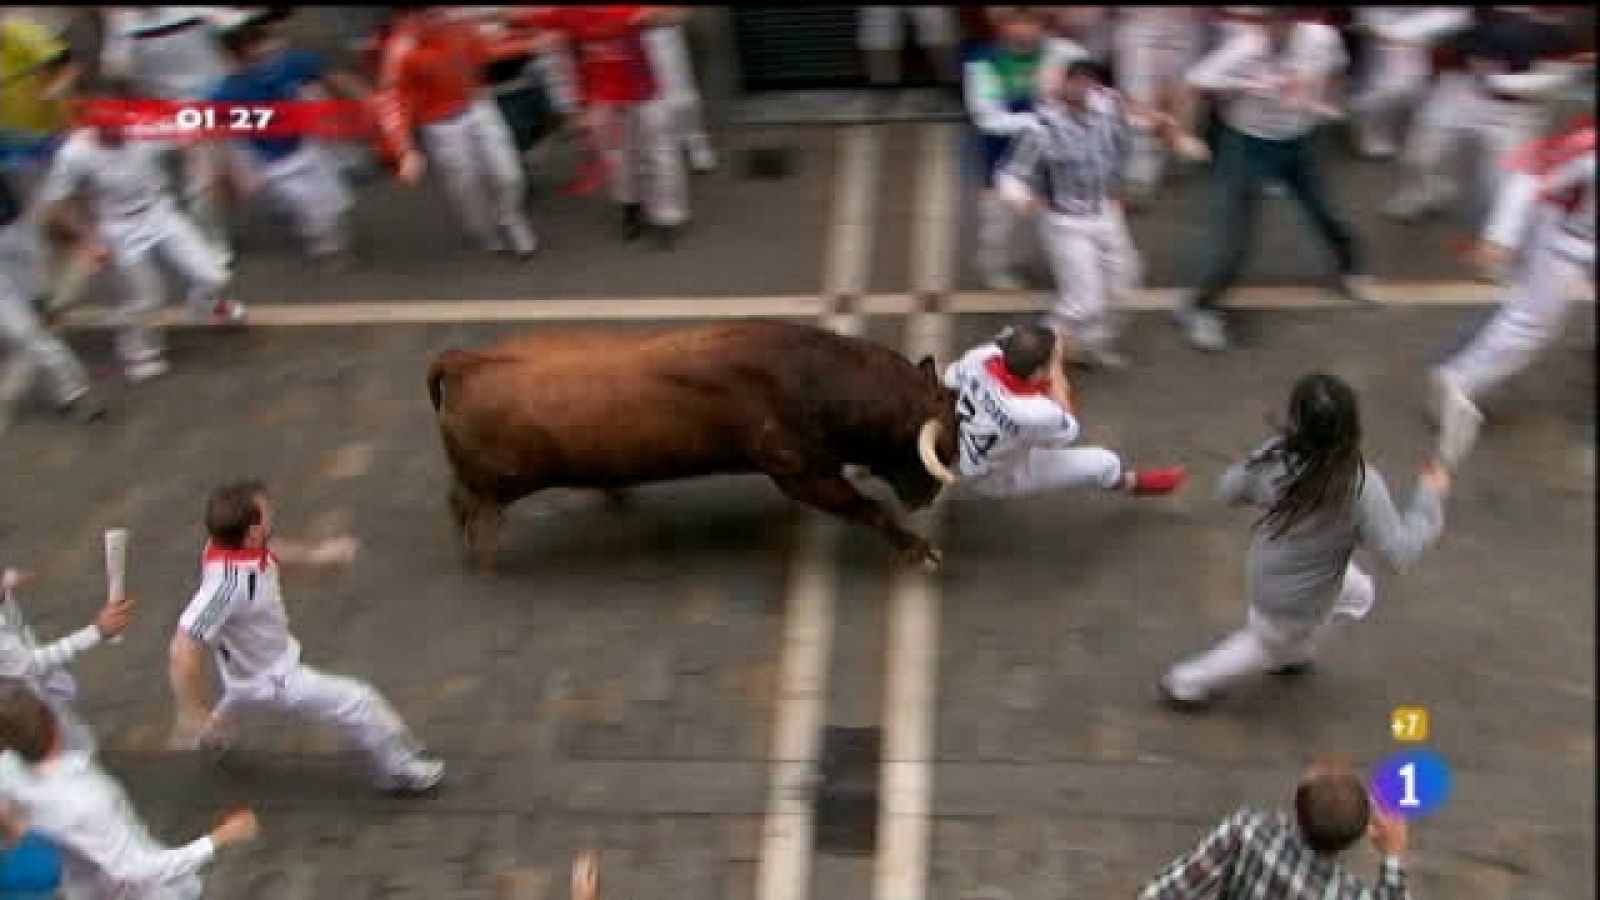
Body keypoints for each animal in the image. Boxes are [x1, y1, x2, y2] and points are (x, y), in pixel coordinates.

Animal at [425, 315, 960, 566]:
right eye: (938, 449)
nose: (930, 496)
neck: (808, 375)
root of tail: (462, 360)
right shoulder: (800, 474)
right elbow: (867, 508)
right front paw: (920, 551)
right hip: (493, 484)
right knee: (461, 502)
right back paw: (481, 555)